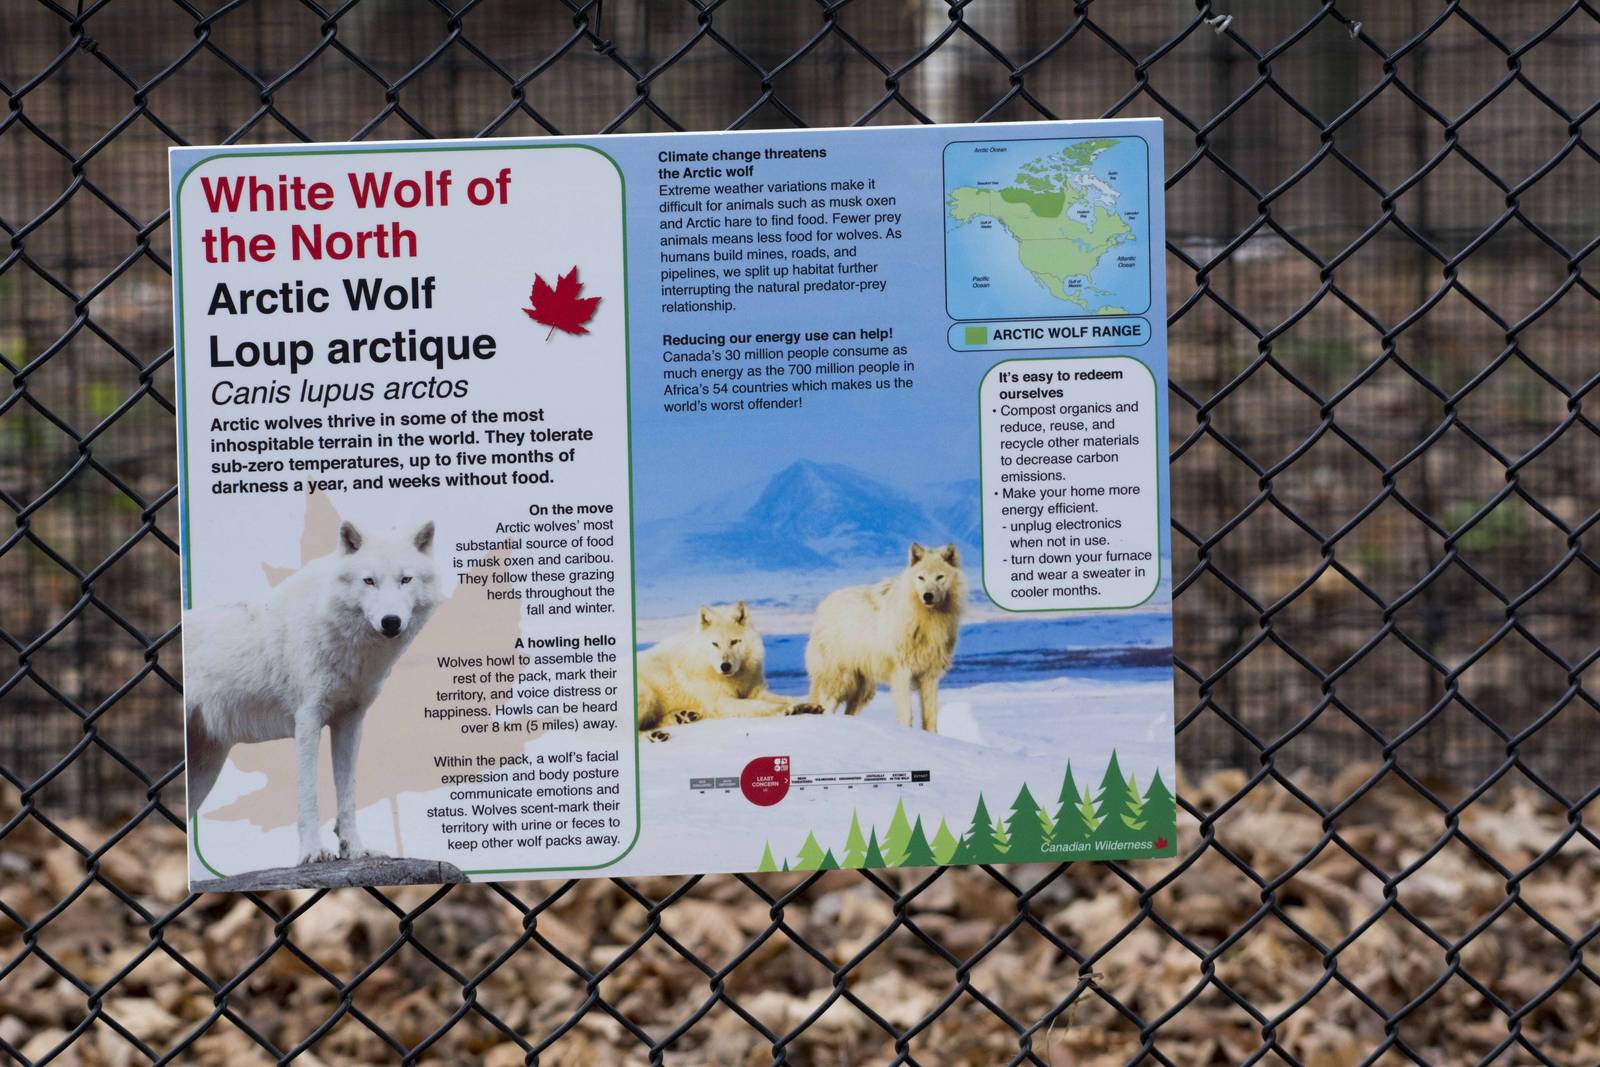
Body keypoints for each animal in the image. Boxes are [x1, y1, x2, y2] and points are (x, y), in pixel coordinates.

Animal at [184, 520, 439, 865]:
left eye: (406, 579)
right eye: (369, 581)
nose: (391, 622)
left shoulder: (350, 721)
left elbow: (348, 794)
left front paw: (354, 849)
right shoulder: (307, 719)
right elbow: (309, 795)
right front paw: (312, 852)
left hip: (205, 769)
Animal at [636, 602, 818, 740]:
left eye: (734, 642)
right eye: (715, 644)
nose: (725, 666)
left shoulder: (755, 690)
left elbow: (786, 697)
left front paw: (808, 705)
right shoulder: (721, 701)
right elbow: (757, 705)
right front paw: (786, 709)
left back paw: (683, 716)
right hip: (647, 696)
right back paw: (655, 735)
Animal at [805, 542, 965, 732]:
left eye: (940, 577)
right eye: (921, 577)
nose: (927, 596)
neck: (925, 619)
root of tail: (823, 605)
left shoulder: (930, 676)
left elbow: (930, 719)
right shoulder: (902, 673)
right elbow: (906, 714)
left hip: (864, 689)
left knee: (849, 711)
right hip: (840, 680)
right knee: (827, 704)